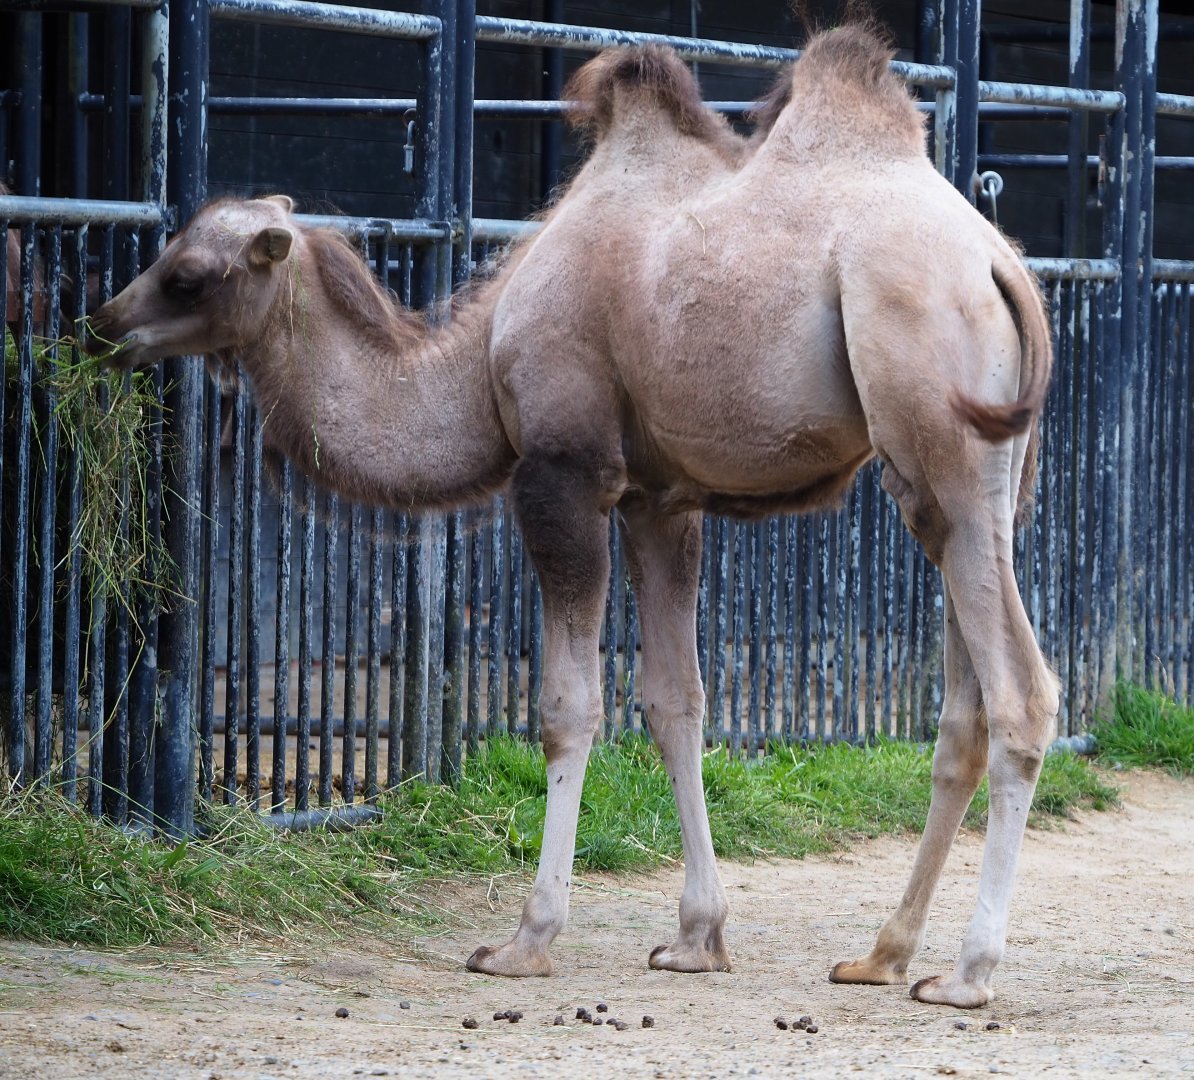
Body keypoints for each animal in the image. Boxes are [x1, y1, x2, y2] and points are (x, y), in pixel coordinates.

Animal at [85, 25, 1058, 1010]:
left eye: (188, 275)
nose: (102, 325)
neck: (479, 363)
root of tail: (1001, 266)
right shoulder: (661, 501)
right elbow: (674, 700)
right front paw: (697, 937)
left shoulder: (563, 472)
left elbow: (568, 707)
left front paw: (525, 938)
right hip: (979, 482)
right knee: (964, 711)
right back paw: (884, 955)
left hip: (937, 433)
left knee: (1023, 693)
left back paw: (968, 974)